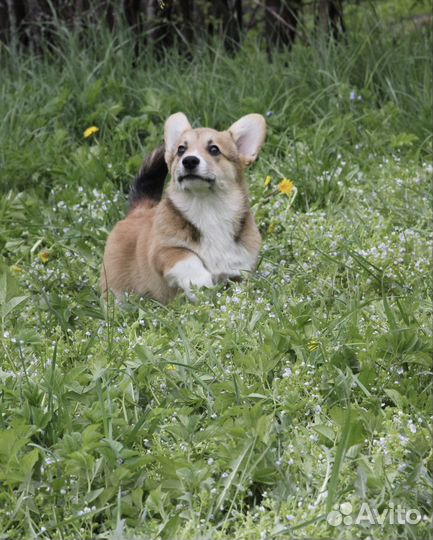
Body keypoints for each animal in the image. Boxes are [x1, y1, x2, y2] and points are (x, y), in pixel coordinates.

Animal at [100, 112, 264, 304]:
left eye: (214, 149)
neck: (208, 207)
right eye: (181, 150)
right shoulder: (163, 250)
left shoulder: (240, 269)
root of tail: (139, 210)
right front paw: (201, 285)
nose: (189, 160)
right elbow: (187, 258)